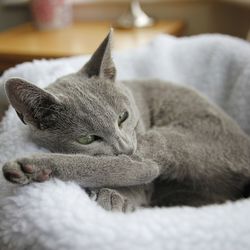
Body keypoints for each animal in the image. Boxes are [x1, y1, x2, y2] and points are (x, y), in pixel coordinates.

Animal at [1, 29, 250, 211]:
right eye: (87, 139)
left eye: (123, 117)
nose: (126, 148)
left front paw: (114, 198)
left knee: (142, 167)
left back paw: (33, 166)